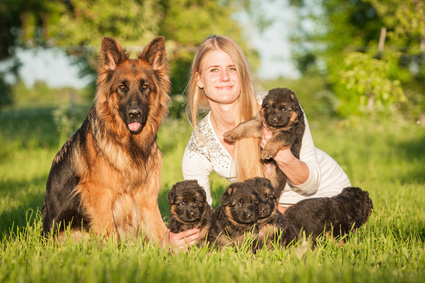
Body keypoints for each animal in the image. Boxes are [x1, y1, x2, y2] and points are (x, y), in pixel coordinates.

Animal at [41, 36, 170, 244]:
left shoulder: (146, 197)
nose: (135, 114)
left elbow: (160, 232)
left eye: (145, 87)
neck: (129, 145)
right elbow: (108, 233)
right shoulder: (100, 196)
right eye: (122, 87)